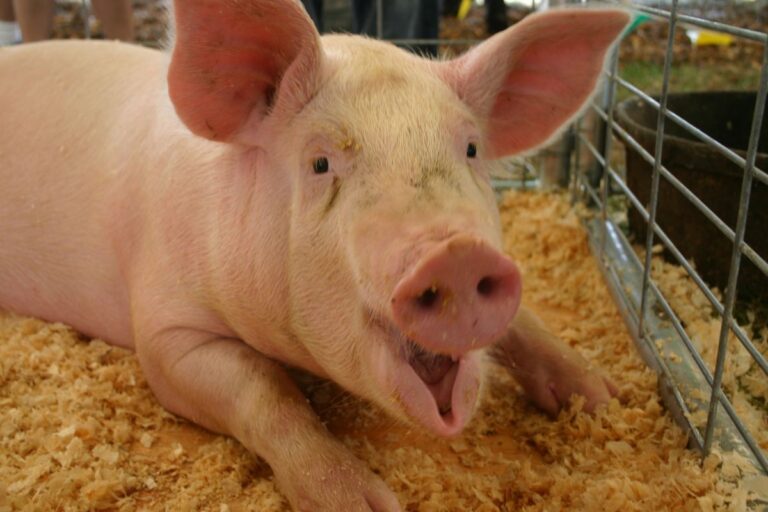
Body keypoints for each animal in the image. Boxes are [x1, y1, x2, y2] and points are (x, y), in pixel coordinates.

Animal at [0, 1, 629, 510]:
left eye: (471, 149)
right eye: (321, 163)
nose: (458, 253)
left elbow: (523, 320)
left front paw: (601, 400)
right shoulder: (164, 329)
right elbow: (264, 386)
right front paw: (362, 504)